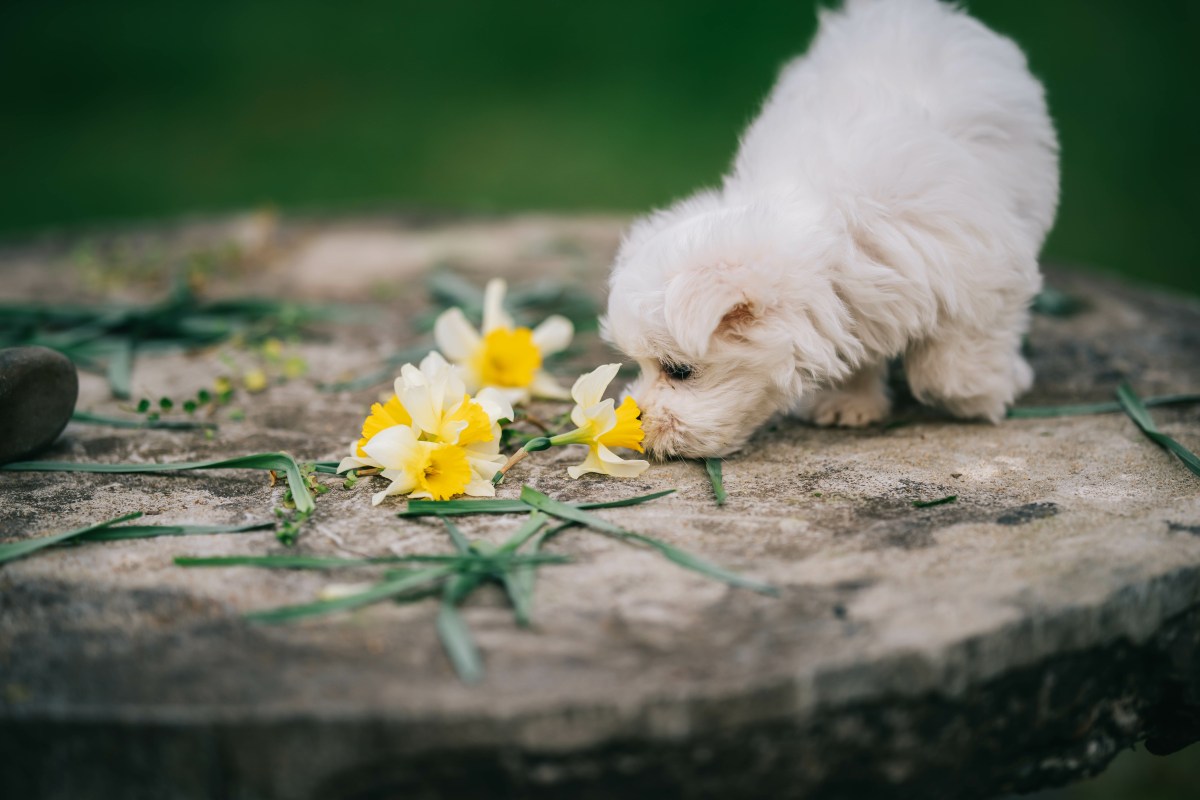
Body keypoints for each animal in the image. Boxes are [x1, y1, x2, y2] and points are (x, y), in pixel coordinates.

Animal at [609, 0, 1060, 455]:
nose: (637, 420)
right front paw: (849, 401)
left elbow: (950, 363)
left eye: (679, 370)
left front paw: (988, 390)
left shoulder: (980, 267)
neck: (835, 237)